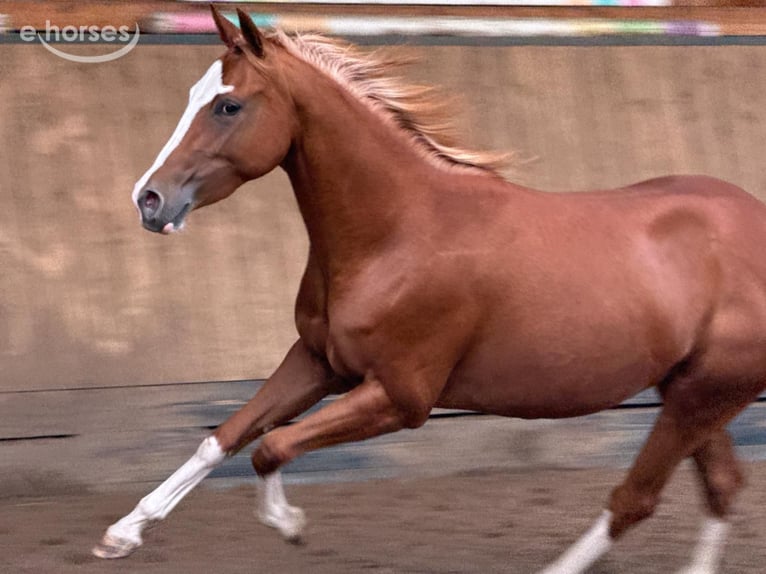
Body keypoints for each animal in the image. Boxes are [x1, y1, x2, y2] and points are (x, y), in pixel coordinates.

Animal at [93, 7, 766, 573]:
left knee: (636, 499)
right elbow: (225, 437)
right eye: (192, 95)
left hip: (702, 395)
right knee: (720, 487)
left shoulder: (400, 398)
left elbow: (271, 447)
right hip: (689, 390)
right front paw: (122, 534)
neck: (398, 234)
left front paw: (290, 524)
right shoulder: (317, 362)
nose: (149, 200)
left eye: (228, 107)